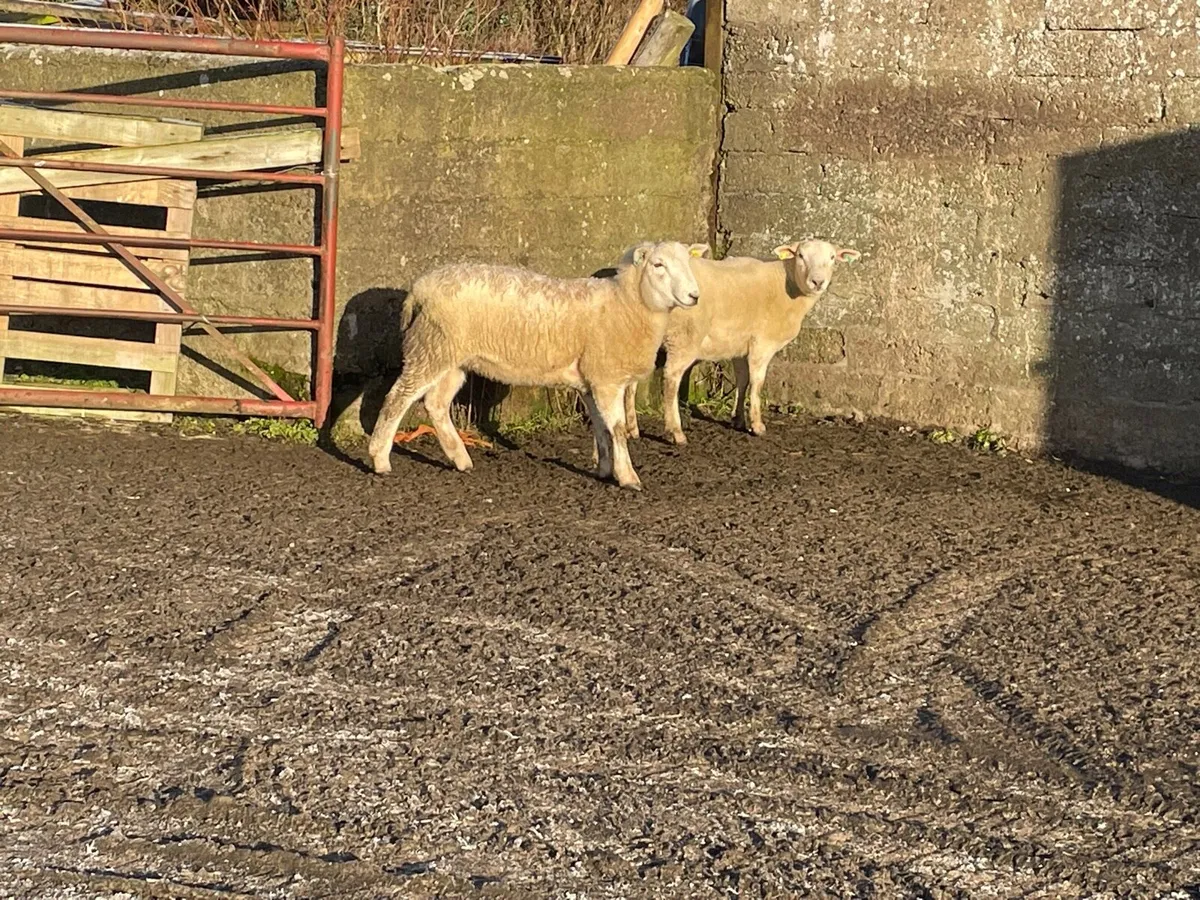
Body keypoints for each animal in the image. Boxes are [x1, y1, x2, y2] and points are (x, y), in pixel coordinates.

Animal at [367, 240, 707, 490]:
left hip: (452, 357)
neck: (626, 304)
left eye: (688, 263)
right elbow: (618, 429)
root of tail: (419, 287)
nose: (694, 296)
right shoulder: (607, 378)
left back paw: (460, 459)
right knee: (398, 398)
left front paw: (604, 468)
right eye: (658, 265)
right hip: (431, 347)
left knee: (436, 404)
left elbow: (600, 426)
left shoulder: (590, 379)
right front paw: (628, 477)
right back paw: (380, 459)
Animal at [620, 238, 860, 444]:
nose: (817, 281)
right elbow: (757, 383)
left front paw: (738, 419)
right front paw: (757, 425)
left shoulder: (739, 345)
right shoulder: (762, 342)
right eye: (800, 255)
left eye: (832, 257)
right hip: (685, 337)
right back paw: (675, 432)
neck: (787, 286)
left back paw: (632, 429)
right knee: (671, 379)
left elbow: (742, 380)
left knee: (632, 382)